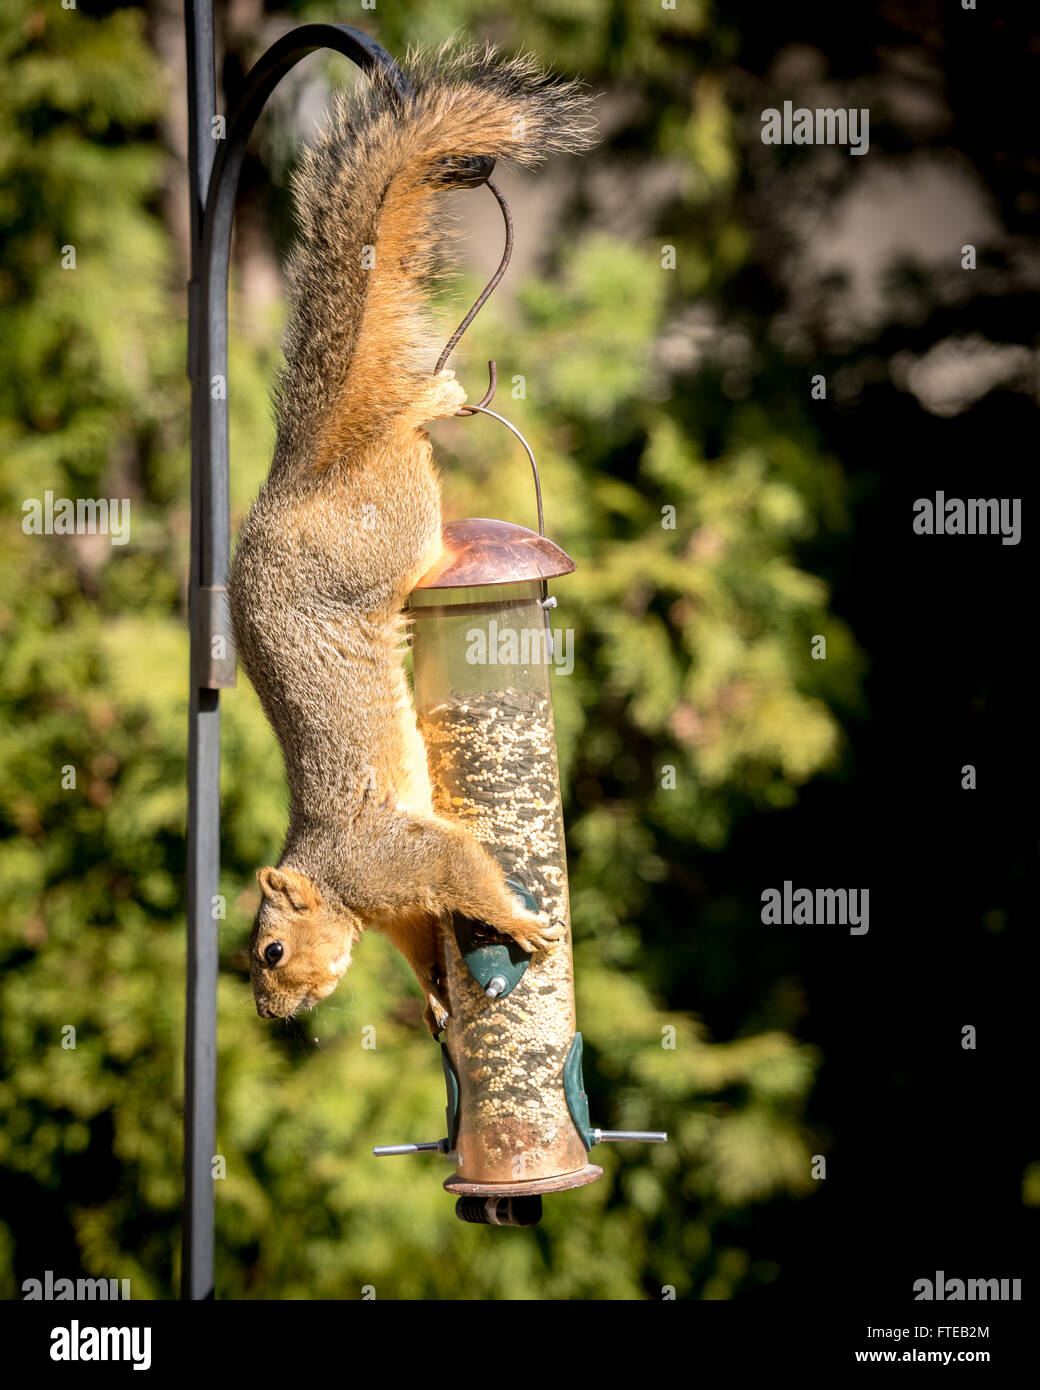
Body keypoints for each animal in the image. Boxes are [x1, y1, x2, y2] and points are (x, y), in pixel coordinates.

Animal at [226, 40, 592, 1034]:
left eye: (270, 952)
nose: (273, 1017)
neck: (338, 879)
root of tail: (298, 479)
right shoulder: (397, 904)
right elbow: (425, 937)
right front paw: (435, 993)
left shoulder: (400, 857)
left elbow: (463, 870)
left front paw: (519, 921)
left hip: (382, 533)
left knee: (399, 438)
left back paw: (424, 401)